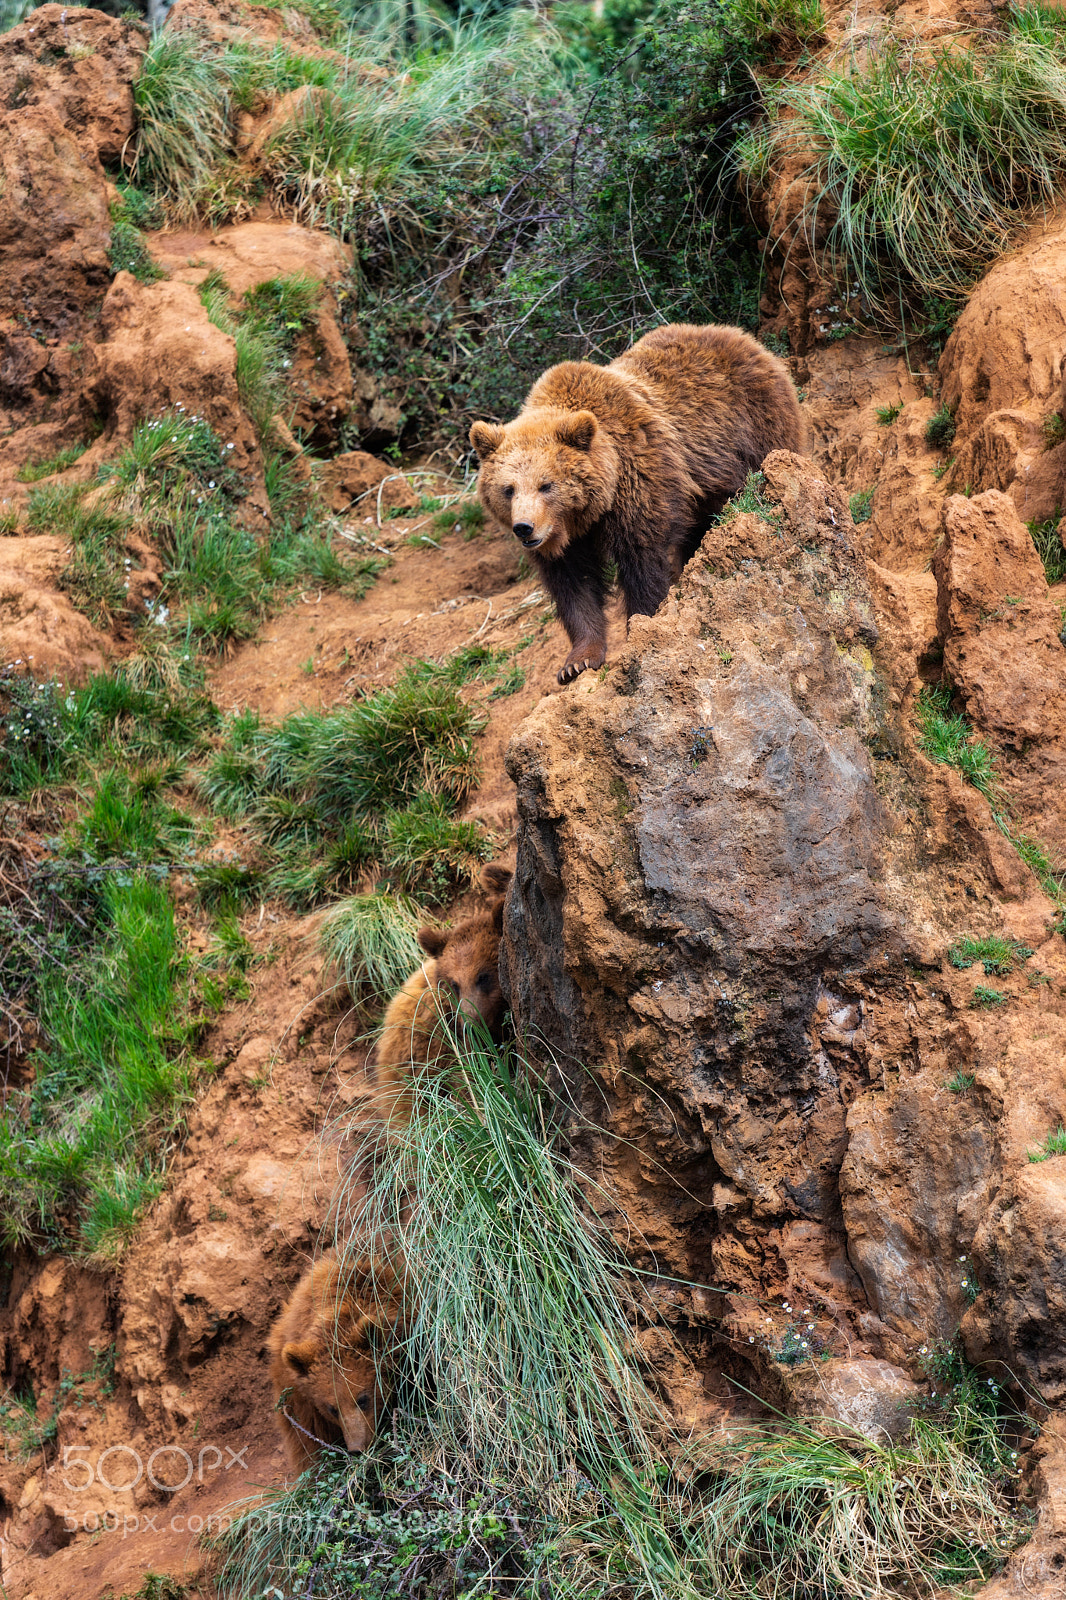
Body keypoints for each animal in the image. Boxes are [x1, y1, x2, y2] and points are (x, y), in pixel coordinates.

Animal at [469, 322, 805, 683]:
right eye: (508, 489)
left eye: (546, 485)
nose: (524, 528)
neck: (590, 509)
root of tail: (745, 338)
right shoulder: (565, 540)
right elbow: (574, 585)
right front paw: (577, 661)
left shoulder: (639, 481)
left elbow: (643, 563)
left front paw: (643, 630)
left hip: (756, 432)